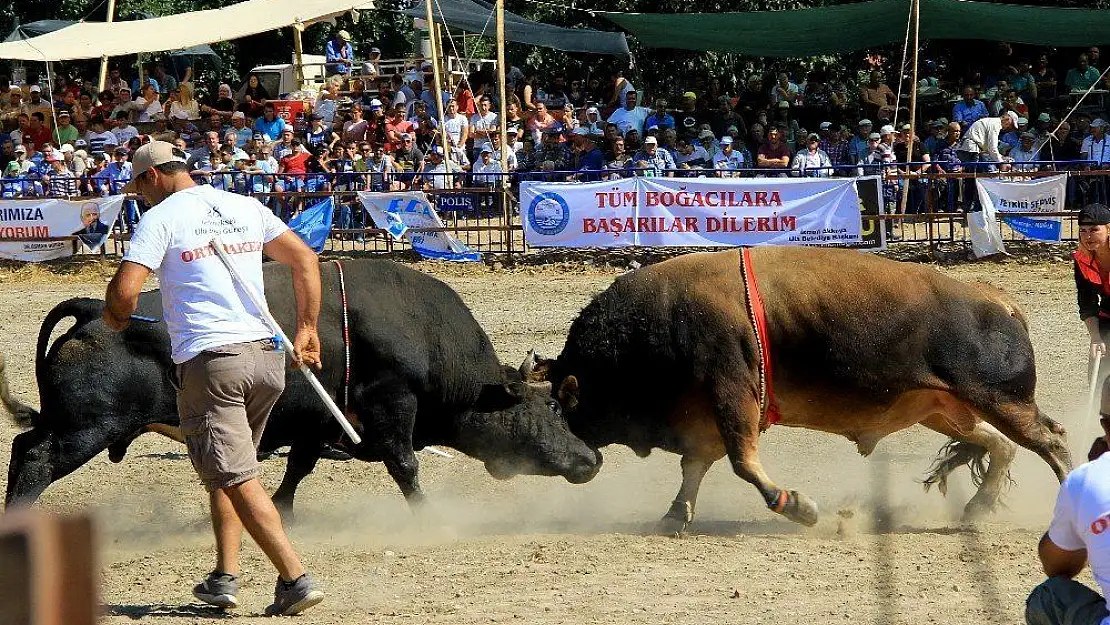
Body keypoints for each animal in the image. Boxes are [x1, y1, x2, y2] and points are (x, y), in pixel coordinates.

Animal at [2, 257, 599, 512]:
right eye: (552, 409)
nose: (591, 458)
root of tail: (95, 311)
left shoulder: (315, 420)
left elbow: (299, 469)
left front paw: (281, 509)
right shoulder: (391, 406)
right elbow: (405, 465)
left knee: (25, 446)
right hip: (85, 427)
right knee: (33, 455)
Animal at [523, 248, 1070, 532]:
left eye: (561, 407)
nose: (578, 463)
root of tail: (997, 298)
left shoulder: (733, 398)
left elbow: (743, 463)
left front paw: (797, 506)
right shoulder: (704, 420)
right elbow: (695, 467)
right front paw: (674, 517)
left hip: (1000, 401)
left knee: (1050, 441)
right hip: (944, 407)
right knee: (997, 444)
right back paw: (976, 510)